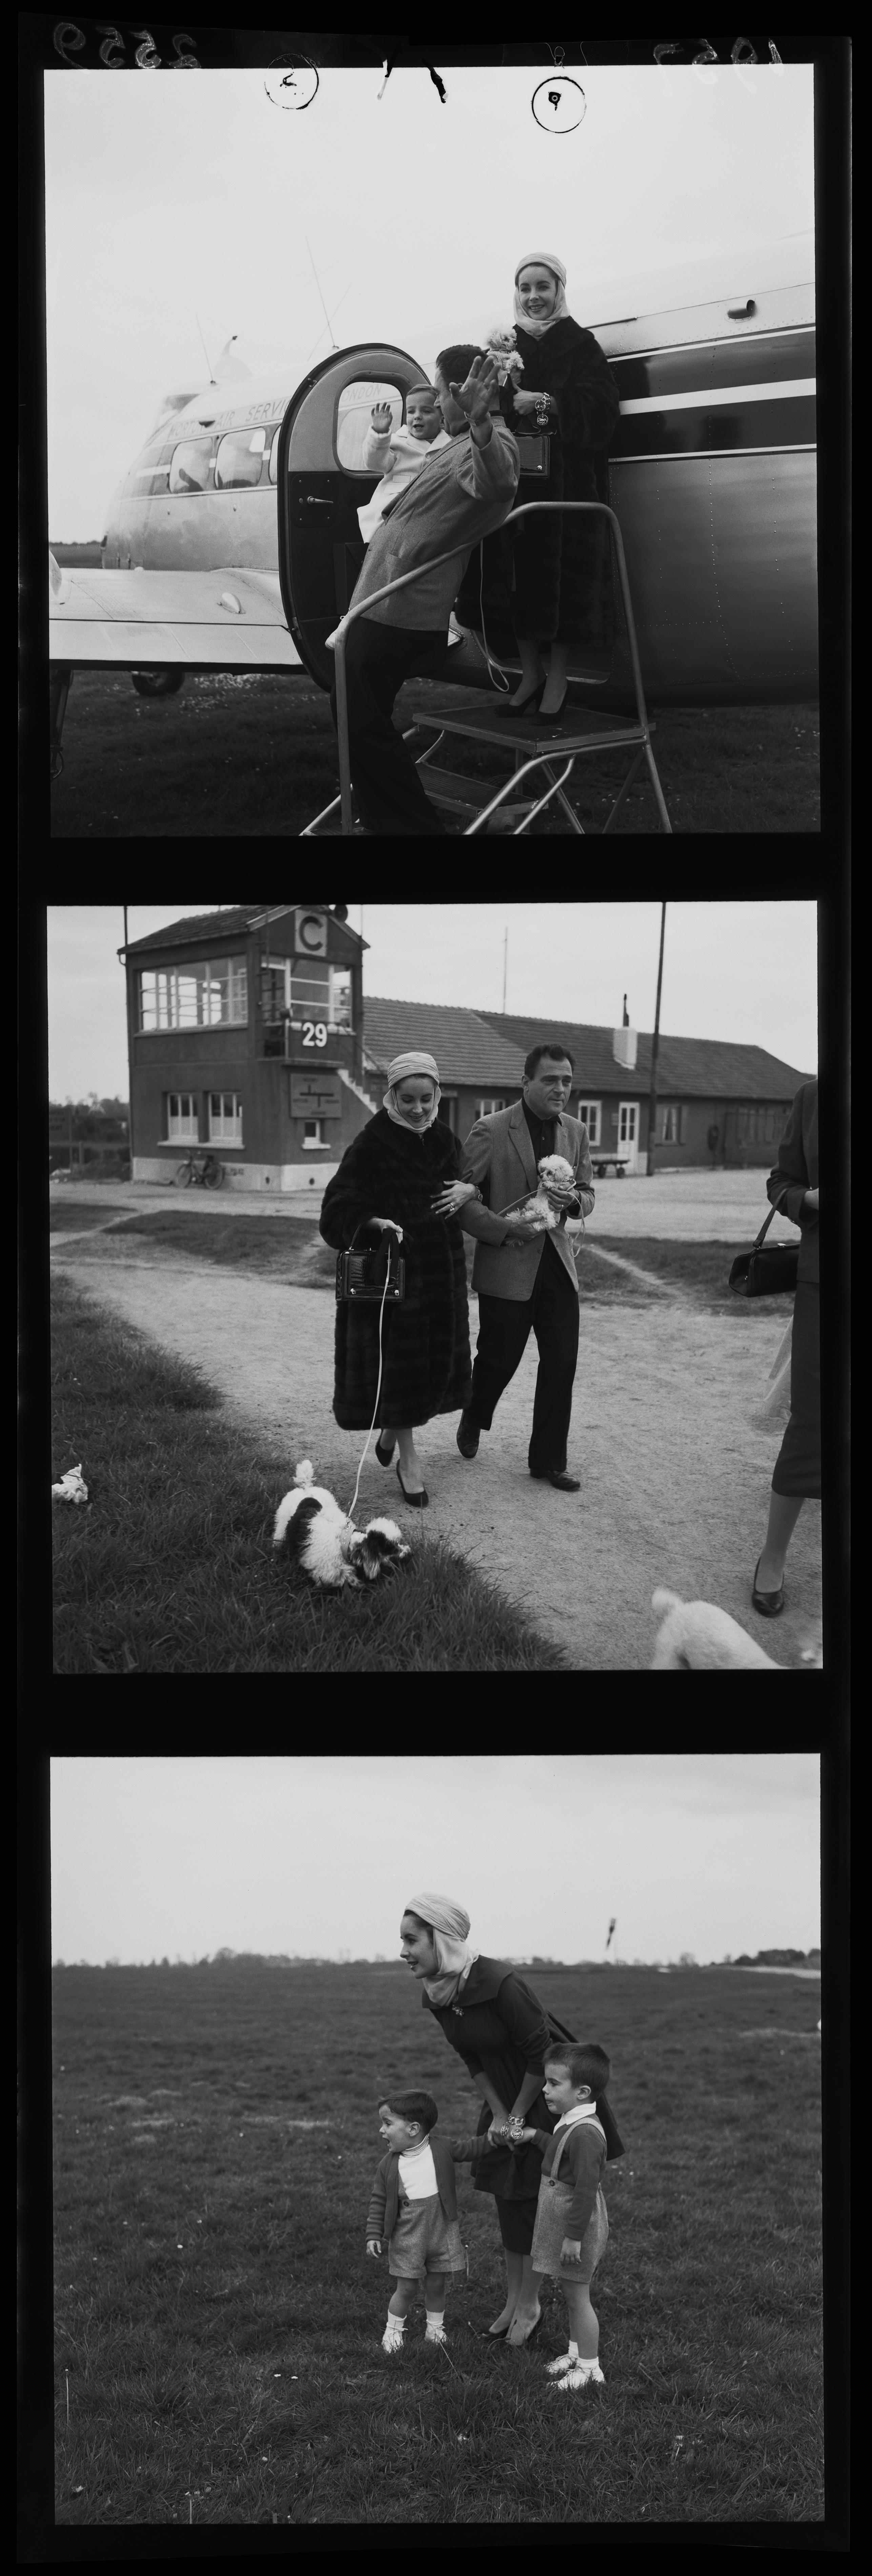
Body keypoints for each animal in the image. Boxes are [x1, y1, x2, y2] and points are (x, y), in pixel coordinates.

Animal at [272, 1463, 414, 1576]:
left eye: (397, 1543)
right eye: (390, 1548)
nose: (410, 1553)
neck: (344, 1541)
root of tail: (307, 1489)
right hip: (282, 1523)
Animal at [507, 1159, 586, 1236]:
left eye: (550, 1173)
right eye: (544, 1170)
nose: (541, 1176)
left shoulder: (561, 1185)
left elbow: (556, 1184)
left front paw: (548, 1184)